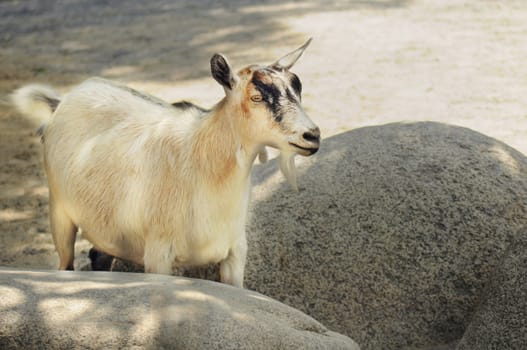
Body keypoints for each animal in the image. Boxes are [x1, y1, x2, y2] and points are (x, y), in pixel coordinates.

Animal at [12, 39, 320, 288]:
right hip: (59, 210)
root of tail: (62, 101)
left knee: (99, 255)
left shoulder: (235, 252)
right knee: (66, 262)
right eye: (256, 97)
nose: (312, 135)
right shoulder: (158, 254)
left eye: (297, 90)